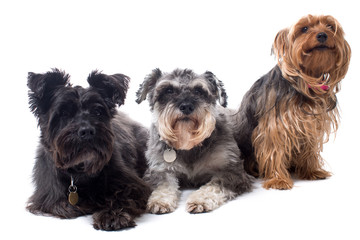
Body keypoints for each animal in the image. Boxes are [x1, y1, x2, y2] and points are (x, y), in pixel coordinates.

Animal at [27, 69, 150, 231]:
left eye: (97, 111)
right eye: (64, 113)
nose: (87, 131)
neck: (79, 171)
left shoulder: (134, 186)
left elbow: (122, 197)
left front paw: (113, 215)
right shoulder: (48, 196)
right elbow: (62, 205)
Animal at [136, 68, 253, 213]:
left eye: (198, 91)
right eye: (168, 90)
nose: (186, 106)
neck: (188, 145)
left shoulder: (232, 171)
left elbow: (215, 185)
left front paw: (200, 199)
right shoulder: (159, 169)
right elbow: (163, 184)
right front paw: (160, 201)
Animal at [231, 14, 352, 189]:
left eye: (330, 26)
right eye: (304, 28)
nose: (322, 35)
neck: (306, 81)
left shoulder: (311, 123)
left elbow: (309, 148)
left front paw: (311, 171)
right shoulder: (275, 125)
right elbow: (274, 149)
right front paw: (278, 179)